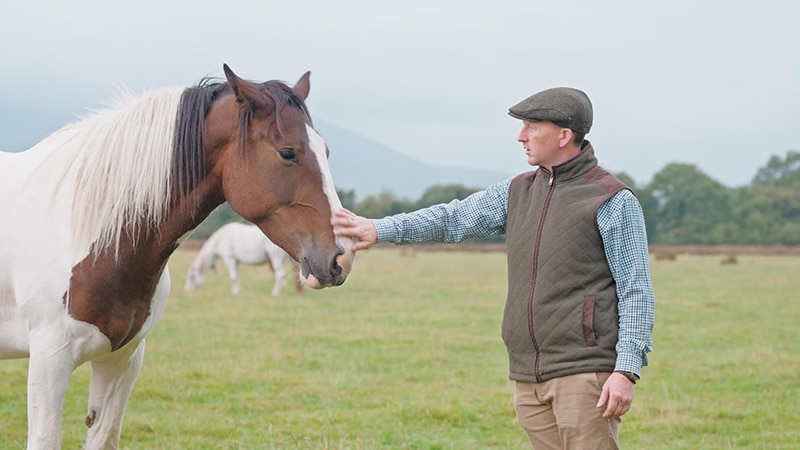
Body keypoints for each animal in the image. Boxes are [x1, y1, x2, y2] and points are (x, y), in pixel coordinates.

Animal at [0, 65, 354, 448]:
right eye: (288, 152)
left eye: (326, 151)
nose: (342, 256)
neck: (88, 231)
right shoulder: (50, 360)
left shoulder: (123, 358)